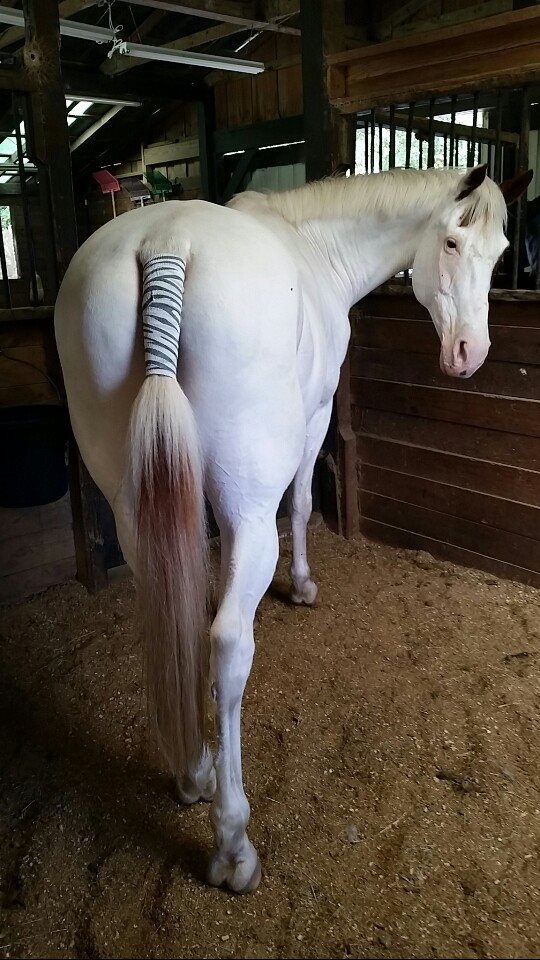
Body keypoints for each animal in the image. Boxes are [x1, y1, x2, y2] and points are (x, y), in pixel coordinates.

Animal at [54, 163, 531, 893]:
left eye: (500, 253)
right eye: (452, 242)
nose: (468, 354)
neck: (315, 244)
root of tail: (163, 244)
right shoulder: (316, 416)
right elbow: (304, 504)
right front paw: (302, 584)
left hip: (135, 504)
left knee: (175, 613)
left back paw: (193, 771)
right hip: (250, 503)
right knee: (227, 644)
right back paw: (232, 844)